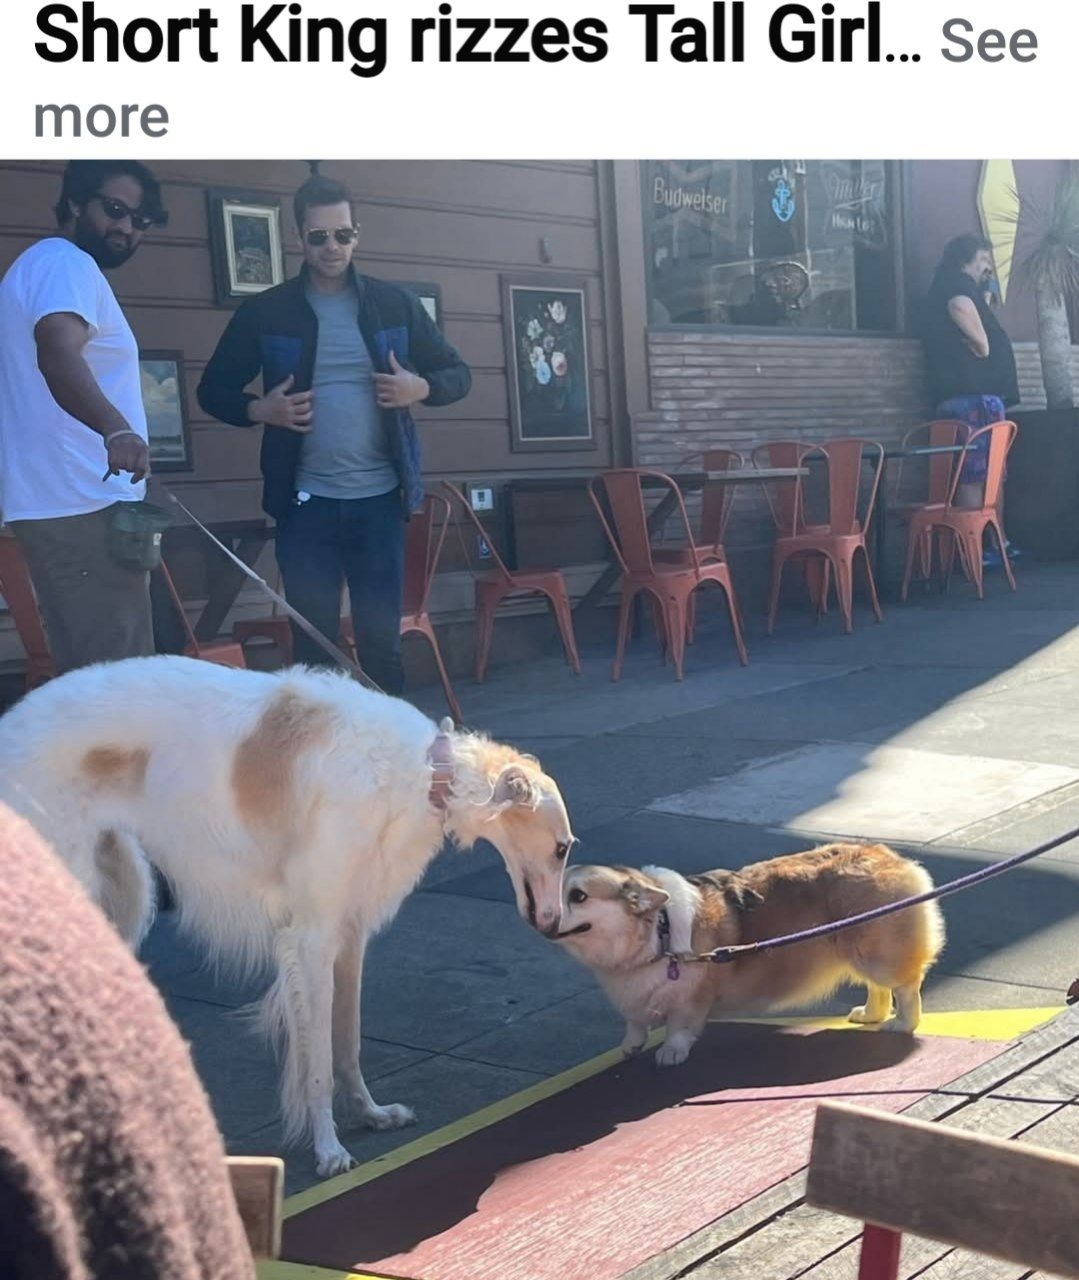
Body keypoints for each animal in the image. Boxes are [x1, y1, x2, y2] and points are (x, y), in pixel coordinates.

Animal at [0, 655, 574, 1177]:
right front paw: (329, 1149)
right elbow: (317, 1061)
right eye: (562, 847)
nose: (554, 925)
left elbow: (348, 1042)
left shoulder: (350, 933)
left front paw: (371, 1113)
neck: (423, 772)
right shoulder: (312, 939)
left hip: (122, 890)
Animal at [554, 843, 944, 1066]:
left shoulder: (690, 999)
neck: (656, 931)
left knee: (905, 987)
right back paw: (869, 1014)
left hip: (877, 953)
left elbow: (680, 1026)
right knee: (878, 988)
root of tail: (889, 855)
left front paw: (671, 1053)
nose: (543, 916)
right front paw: (630, 1046)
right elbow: (634, 1025)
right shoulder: (634, 1002)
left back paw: (900, 1023)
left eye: (578, 896)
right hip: (860, 951)